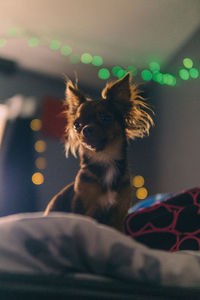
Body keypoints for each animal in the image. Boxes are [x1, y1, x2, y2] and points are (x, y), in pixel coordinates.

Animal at [44, 73, 153, 232]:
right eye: (77, 125)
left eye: (105, 117)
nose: (86, 129)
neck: (104, 159)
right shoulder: (83, 209)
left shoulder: (118, 216)